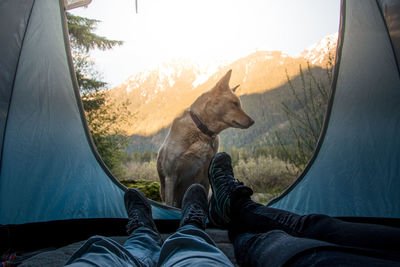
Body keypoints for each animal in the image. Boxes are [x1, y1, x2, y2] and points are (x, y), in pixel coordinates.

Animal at [156, 70, 253, 208]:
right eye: (235, 103)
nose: (252, 121)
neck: (201, 132)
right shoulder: (171, 176)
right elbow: (170, 203)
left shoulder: (205, 178)